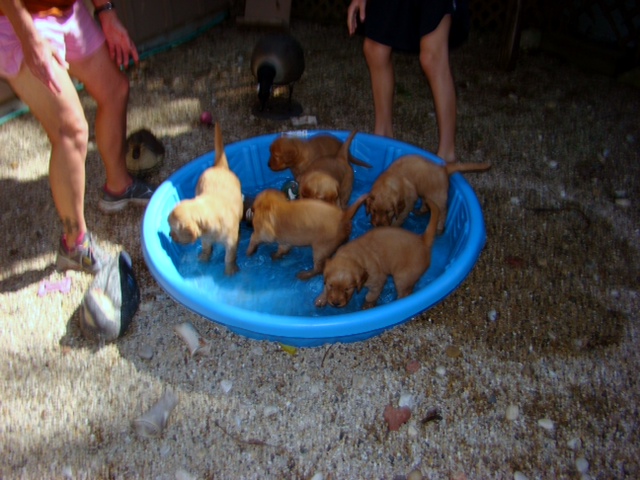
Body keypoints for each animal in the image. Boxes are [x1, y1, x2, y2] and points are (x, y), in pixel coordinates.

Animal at [166, 122, 244, 276]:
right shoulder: (205, 238)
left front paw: (229, 270)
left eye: (174, 229)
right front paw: (204, 258)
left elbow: (229, 257)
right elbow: (207, 248)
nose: (170, 235)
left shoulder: (231, 242)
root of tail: (219, 167)